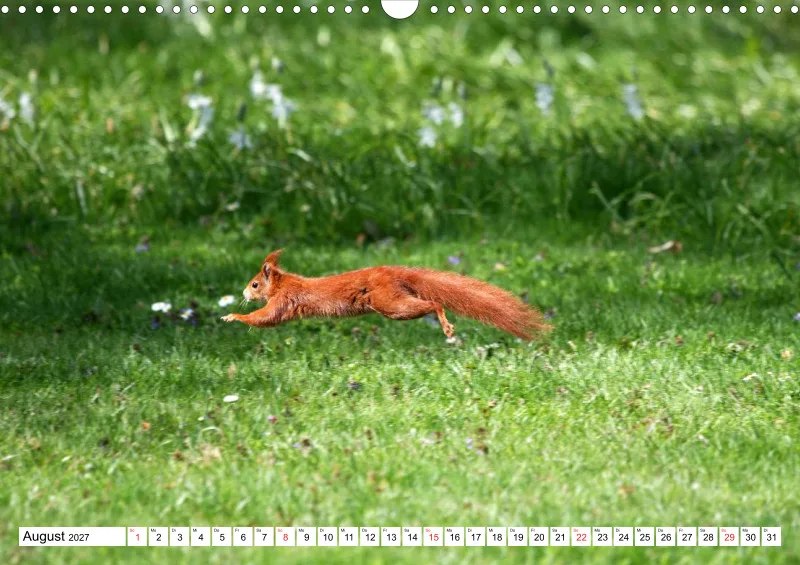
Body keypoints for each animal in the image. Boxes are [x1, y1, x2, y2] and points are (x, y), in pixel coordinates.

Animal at [221, 249, 552, 340]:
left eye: (255, 284)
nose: (243, 291)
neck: (283, 283)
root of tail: (392, 273)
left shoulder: (284, 301)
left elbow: (266, 317)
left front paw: (233, 315)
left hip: (389, 303)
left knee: (434, 302)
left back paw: (445, 325)